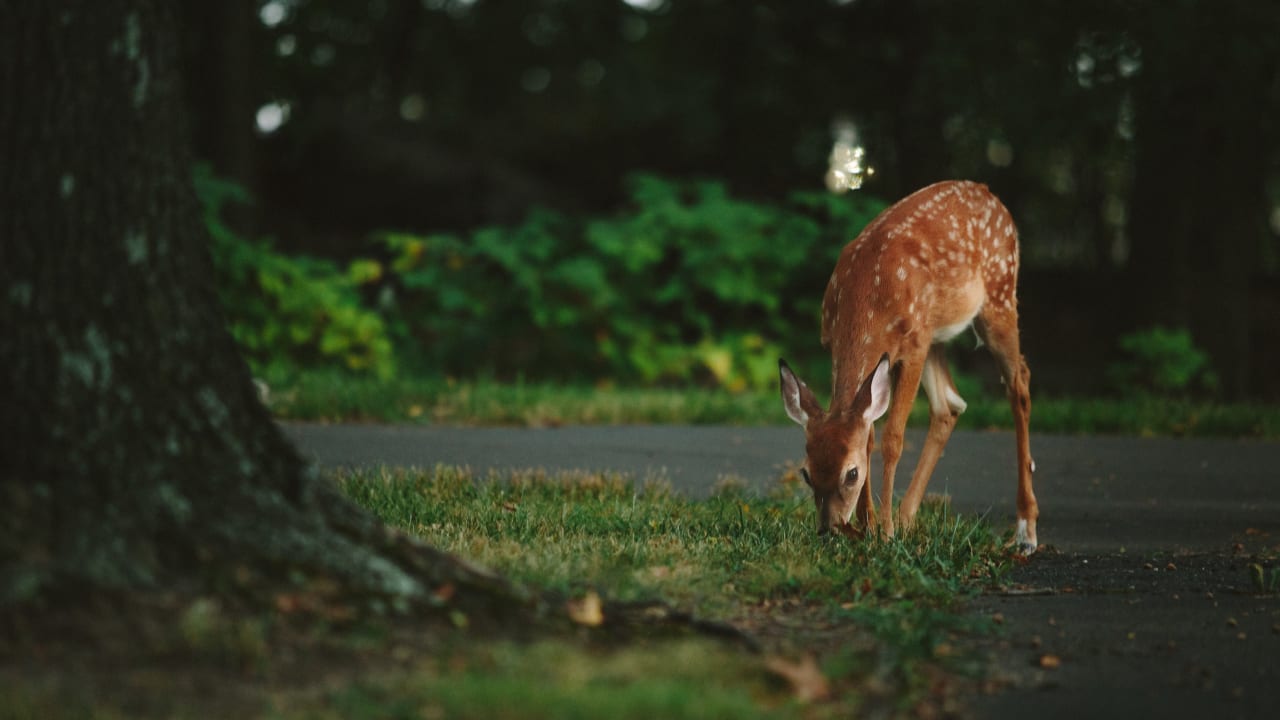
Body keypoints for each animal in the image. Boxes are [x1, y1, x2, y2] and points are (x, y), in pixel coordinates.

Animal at [778, 179, 1039, 548]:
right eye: (806, 472)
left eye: (851, 474)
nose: (828, 529)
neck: (867, 298)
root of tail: (990, 194)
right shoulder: (837, 344)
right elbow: (868, 434)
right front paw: (869, 525)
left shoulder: (913, 347)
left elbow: (892, 438)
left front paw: (883, 531)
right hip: (937, 335)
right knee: (950, 405)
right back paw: (907, 519)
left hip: (998, 296)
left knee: (1019, 385)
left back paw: (1025, 530)